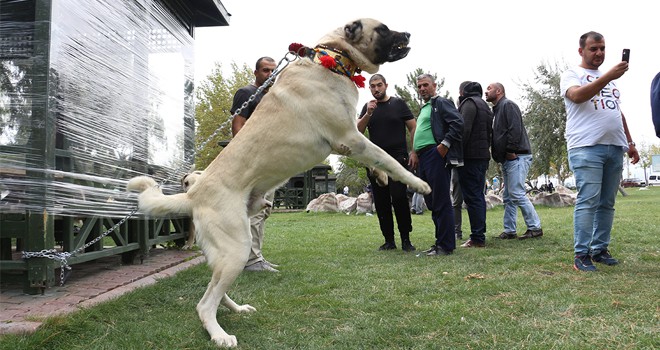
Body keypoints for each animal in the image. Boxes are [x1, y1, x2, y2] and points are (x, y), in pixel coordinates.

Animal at [126, 19, 430, 348]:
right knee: (204, 304)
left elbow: (379, 160)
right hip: (236, 248)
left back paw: (237, 308)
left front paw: (383, 177)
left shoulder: (349, 141)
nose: (409, 34)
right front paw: (418, 182)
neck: (332, 59)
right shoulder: (349, 137)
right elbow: (388, 157)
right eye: (383, 29)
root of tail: (194, 193)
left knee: (214, 291)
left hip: (223, 253)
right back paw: (220, 335)